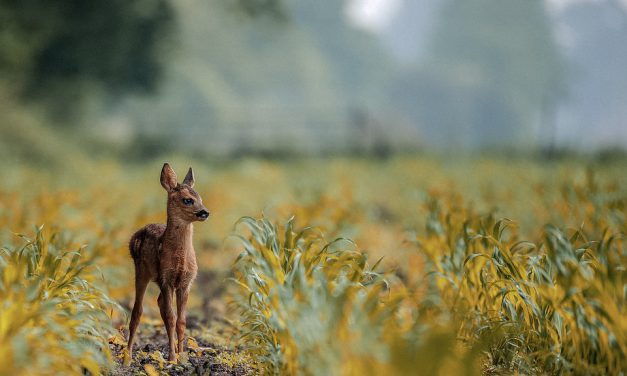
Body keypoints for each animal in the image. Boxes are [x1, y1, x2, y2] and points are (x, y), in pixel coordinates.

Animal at [127, 164, 211, 362]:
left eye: (200, 198)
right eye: (187, 200)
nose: (205, 212)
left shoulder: (185, 282)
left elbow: (181, 320)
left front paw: (182, 356)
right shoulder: (166, 279)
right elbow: (171, 317)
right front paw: (173, 358)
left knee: (159, 304)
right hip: (141, 271)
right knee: (137, 311)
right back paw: (127, 357)